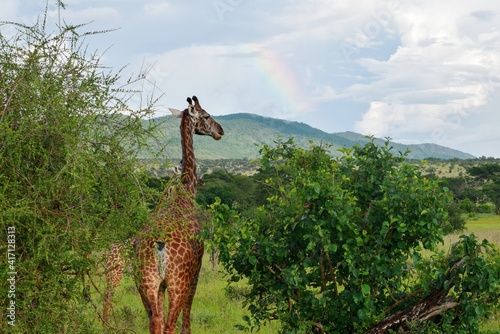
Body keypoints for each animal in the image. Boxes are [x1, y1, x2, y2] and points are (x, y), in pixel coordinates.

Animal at [103, 95, 223, 332]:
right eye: (206, 116)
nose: (220, 131)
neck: (184, 195)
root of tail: (159, 245)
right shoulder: (196, 271)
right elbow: (186, 322)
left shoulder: (160, 285)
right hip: (176, 283)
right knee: (168, 325)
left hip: (145, 283)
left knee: (154, 321)